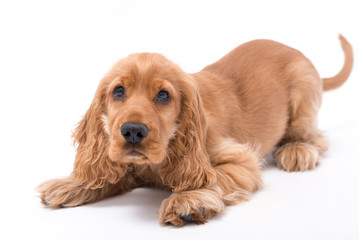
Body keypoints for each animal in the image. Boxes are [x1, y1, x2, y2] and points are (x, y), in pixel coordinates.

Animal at [37, 34, 354, 226]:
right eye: (118, 91)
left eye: (163, 95)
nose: (132, 132)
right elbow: (107, 174)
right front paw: (72, 184)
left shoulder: (241, 161)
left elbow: (212, 177)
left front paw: (189, 200)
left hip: (303, 98)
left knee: (315, 138)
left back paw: (297, 150)